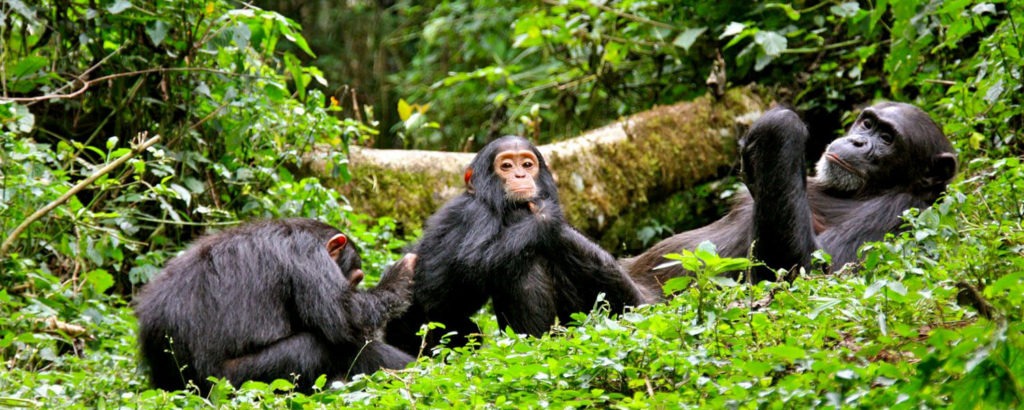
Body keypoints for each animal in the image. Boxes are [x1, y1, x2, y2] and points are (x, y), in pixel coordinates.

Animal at [135, 217, 415, 393]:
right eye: (356, 279)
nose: (356, 282)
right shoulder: (307, 254)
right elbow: (345, 315)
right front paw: (399, 275)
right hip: (235, 381)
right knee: (313, 347)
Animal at [380, 134, 651, 354]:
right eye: (506, 166)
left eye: (527, 165)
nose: (520, 175)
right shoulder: (479, 214)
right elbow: (475, 260)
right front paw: (544, 216)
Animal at [622, 102, 958, 293]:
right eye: (868, 124)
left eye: (887, 138)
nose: (858, 142)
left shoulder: (899, 213)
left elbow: (809, 271)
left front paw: (780, 125)